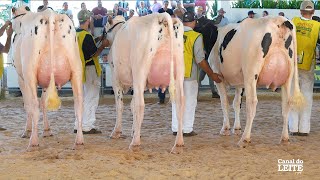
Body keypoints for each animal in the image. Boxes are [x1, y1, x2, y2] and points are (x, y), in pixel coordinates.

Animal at [10, 5, 84, 150]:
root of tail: (50, 14)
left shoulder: (21, 78)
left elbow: (28, 104)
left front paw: (27, 131)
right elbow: (44, 102)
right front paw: (47, 130)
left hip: (29, 72)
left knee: (33, 104)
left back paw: (33, 141)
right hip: (76, 69)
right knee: (78, 103)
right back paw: (79, 140)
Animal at [105, 14, 185, 153]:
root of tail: (161, 17)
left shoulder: (116, 80)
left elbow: (120, 105)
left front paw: (117, 131)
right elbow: (132, 105)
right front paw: (134, 130)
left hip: (140, 70)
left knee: (140, 105)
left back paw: (135, 143)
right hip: (179, 71)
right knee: (180, 102)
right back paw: (178, 143)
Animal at [210, 16, 304, 147]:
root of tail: (279, 19)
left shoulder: (217, 75)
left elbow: (225, 103)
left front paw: (226, 129)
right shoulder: (240, 82)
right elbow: (236, 103)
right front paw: (237, 128)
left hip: (251, 73)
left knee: (252, 103)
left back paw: (245, 138)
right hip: (288, 76)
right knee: (286, 104)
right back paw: (285, 138)